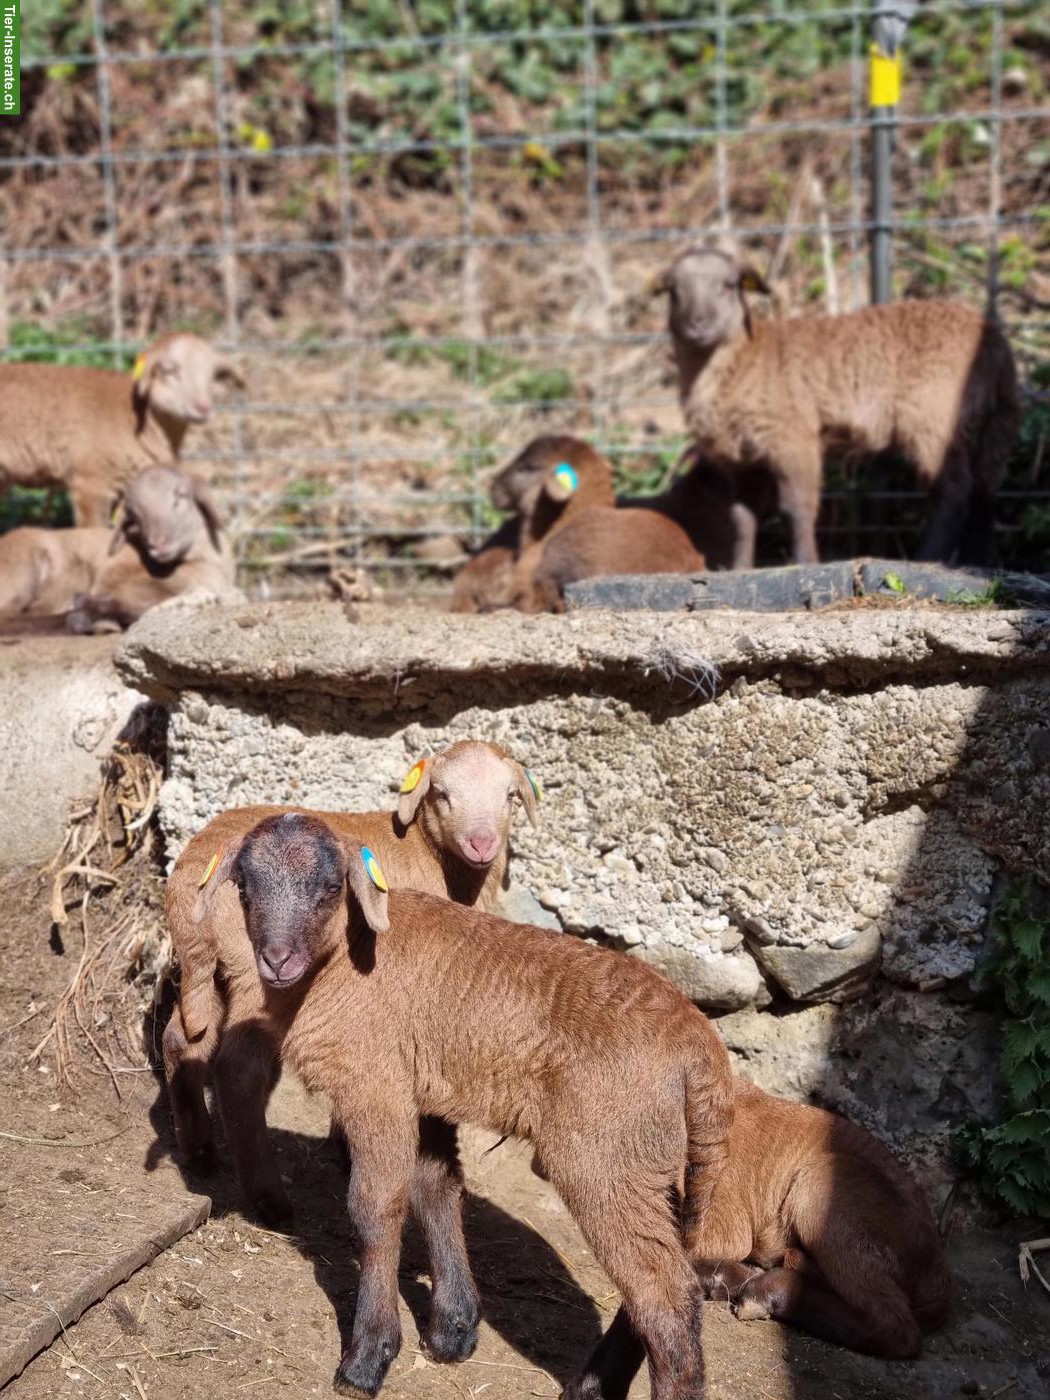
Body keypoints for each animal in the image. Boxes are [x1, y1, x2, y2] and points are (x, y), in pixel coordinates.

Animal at [162, 739, 540, 1230]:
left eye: (511, 795)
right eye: (442, 794)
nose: (482, 843)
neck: (429, 852)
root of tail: (191, 884)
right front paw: (346, 1148)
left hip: (209, 975)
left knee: (182, 1040)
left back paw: (199, 1151)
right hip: (255, 969)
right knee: (238, 1069)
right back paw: (269, 1198)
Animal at [184, 811, 734, 1400]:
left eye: (331, 888)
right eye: (244, 887)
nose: (277, 960)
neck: (338, 965)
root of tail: (701, 1055)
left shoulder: (376, 1088)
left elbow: (375, 1209)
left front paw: (369, 1357)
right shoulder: (424, 1091)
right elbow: (437, 1190)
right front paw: (453, 1330)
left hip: (606, 1155)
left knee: (665, 1293)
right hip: (652, 1160)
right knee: (660, 1278)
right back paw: (591, 1385)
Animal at [571, 1079, 952, 1396]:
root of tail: (939, 1274)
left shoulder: (716, 1224)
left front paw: (591, 1388)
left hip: (822, 1190)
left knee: (895, 1326)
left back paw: (761, 1290)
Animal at [654, 245, 1020, 565]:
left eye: (728, 285)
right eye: (673, 291)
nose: (696, 324)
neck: (743, 358)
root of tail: (996, 343)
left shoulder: (793, 436)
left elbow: (796, 507)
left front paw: (805, 562)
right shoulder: (739, 458)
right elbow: (742, 517)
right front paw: (740, 568)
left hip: (934, 417)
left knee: (954, 490)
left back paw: (927, 558)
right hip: (994, 421)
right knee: (985, 487)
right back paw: (976, 560)